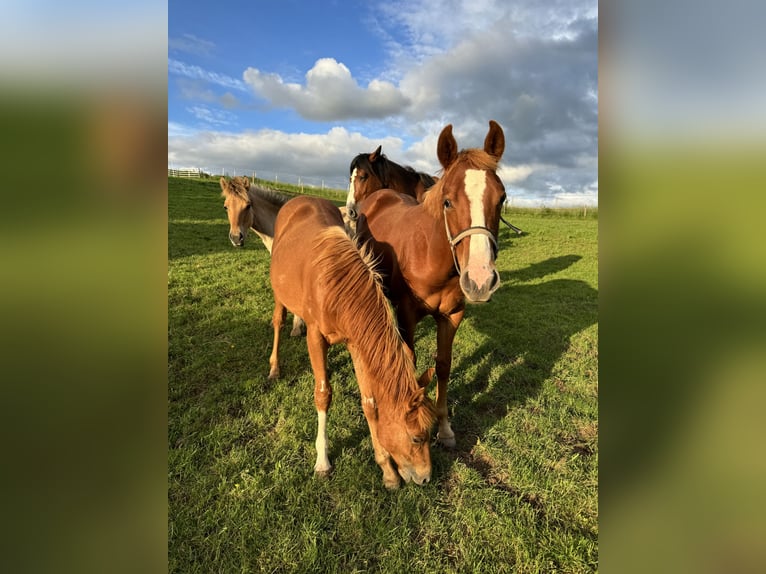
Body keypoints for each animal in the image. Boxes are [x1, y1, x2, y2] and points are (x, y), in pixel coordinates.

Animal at [268, 197, 438, 490]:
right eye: (417, 437)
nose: (426, 477)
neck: (335, 285)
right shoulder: (315, 338)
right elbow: (323, 395)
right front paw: (322, 462)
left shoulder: (357, 345)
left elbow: (369, 403)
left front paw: (387, 470)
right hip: (280, 296)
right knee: (278, 321)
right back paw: (274, 368)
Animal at [356, 120, 510, 450]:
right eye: (447, 201)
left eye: (502, 198)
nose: (480, 280)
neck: (430, 257)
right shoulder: (407, 315)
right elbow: (410, 362)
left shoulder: (451, 316)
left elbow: (443, 365)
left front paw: (444, 427)